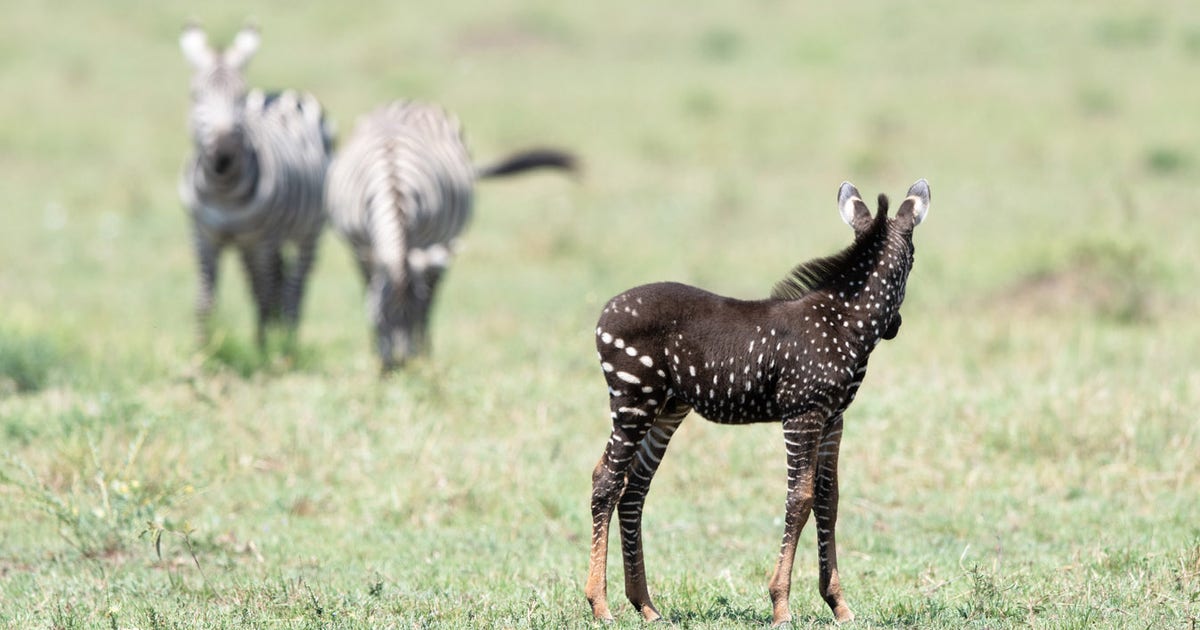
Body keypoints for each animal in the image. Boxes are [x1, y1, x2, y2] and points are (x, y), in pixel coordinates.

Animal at [178, 24, 332, 350]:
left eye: (240, 96)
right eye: (196, 95)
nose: (223, 154)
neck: (222, 190)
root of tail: (281, 92)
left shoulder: (262, 239)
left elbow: (265, 293)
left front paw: (263, 350)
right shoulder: (203, 235)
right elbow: (205, 299)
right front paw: (202, 350)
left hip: (308, 231)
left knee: (293, 287)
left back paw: (287, 338)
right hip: (250, 243)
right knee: (273, 282)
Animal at [324, 100, 575, 371]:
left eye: (414, 318)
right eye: (380, 318)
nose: (401, 365)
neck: (393, 186)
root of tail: (413, 103)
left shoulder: (425, 246)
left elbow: (425, 302)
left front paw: (420, 352)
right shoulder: (360, 246)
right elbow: (368, 291)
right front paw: (377, 352)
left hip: (446, 241)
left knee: (434, 292)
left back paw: (426, 350)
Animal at [584, 180, 931, 626]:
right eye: (912, 262)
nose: (896, 327)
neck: (842, 323)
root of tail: (605, 311)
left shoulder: (833, 418)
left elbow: (828, 499)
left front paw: (838, 604)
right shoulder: (802, 413)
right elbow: (799, 499)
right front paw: (781, 605)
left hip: (666, 408)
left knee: (634, 489)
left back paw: (645, 605)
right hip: (632, 400)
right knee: (606, 481)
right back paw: (600, 604)